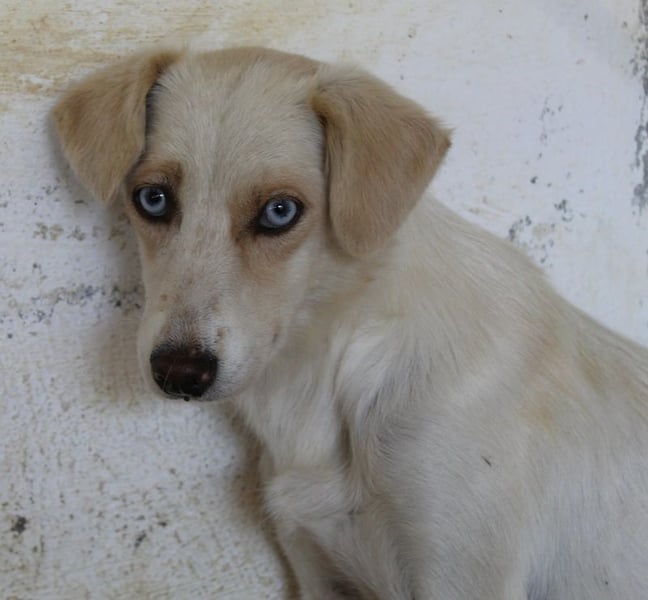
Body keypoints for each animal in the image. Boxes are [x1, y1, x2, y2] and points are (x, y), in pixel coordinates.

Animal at [53, 47, 648, 599]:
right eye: (152, 199)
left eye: (280, 212)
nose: (179, 372)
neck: (323, 374)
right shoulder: (315, 561)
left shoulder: (463, 575)